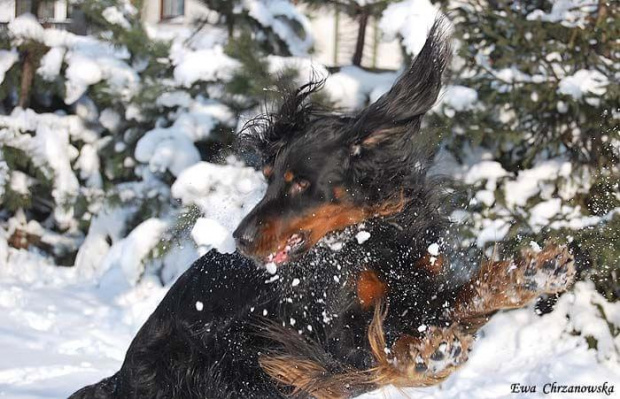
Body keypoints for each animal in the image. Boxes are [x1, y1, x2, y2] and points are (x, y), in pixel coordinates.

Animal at [70, 20, 572, 399]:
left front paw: (528, 274)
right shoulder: (325, 336)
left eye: (298, 183)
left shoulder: (419, 283)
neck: (369, 237)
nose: (240, 239)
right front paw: (426, 354)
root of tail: (120, 379)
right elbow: (386, 339)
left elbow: (460, 297)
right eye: (267, 176)